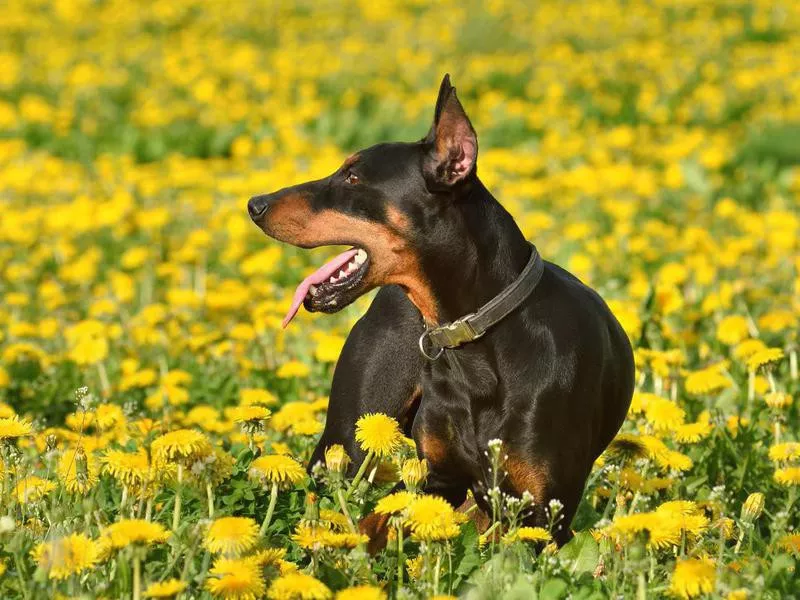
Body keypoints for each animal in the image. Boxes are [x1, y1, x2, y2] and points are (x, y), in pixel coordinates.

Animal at [247, 74, 636, 544]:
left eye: (353, 177)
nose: (254, 204)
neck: (476, 340)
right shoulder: (438, 477)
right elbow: (378, 520)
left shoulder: (544, 513)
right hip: (349, 436)